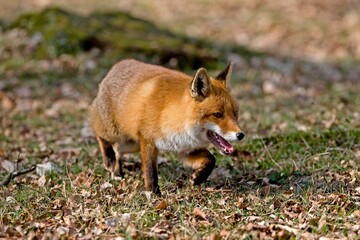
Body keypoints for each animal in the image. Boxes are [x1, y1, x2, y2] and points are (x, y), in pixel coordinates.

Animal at [89, 59, 245, 194]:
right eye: (218, 114)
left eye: (235, 113)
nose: (241, 135)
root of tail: (118, 64)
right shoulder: (148, 141)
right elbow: (150, 172)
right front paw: (154, 194)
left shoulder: (186, 149)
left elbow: (211, 159)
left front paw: (198, 178)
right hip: (114, 132)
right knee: (98, 132)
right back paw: (109, 159)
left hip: (131, 144)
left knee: (118, 150)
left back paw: (117, 172)